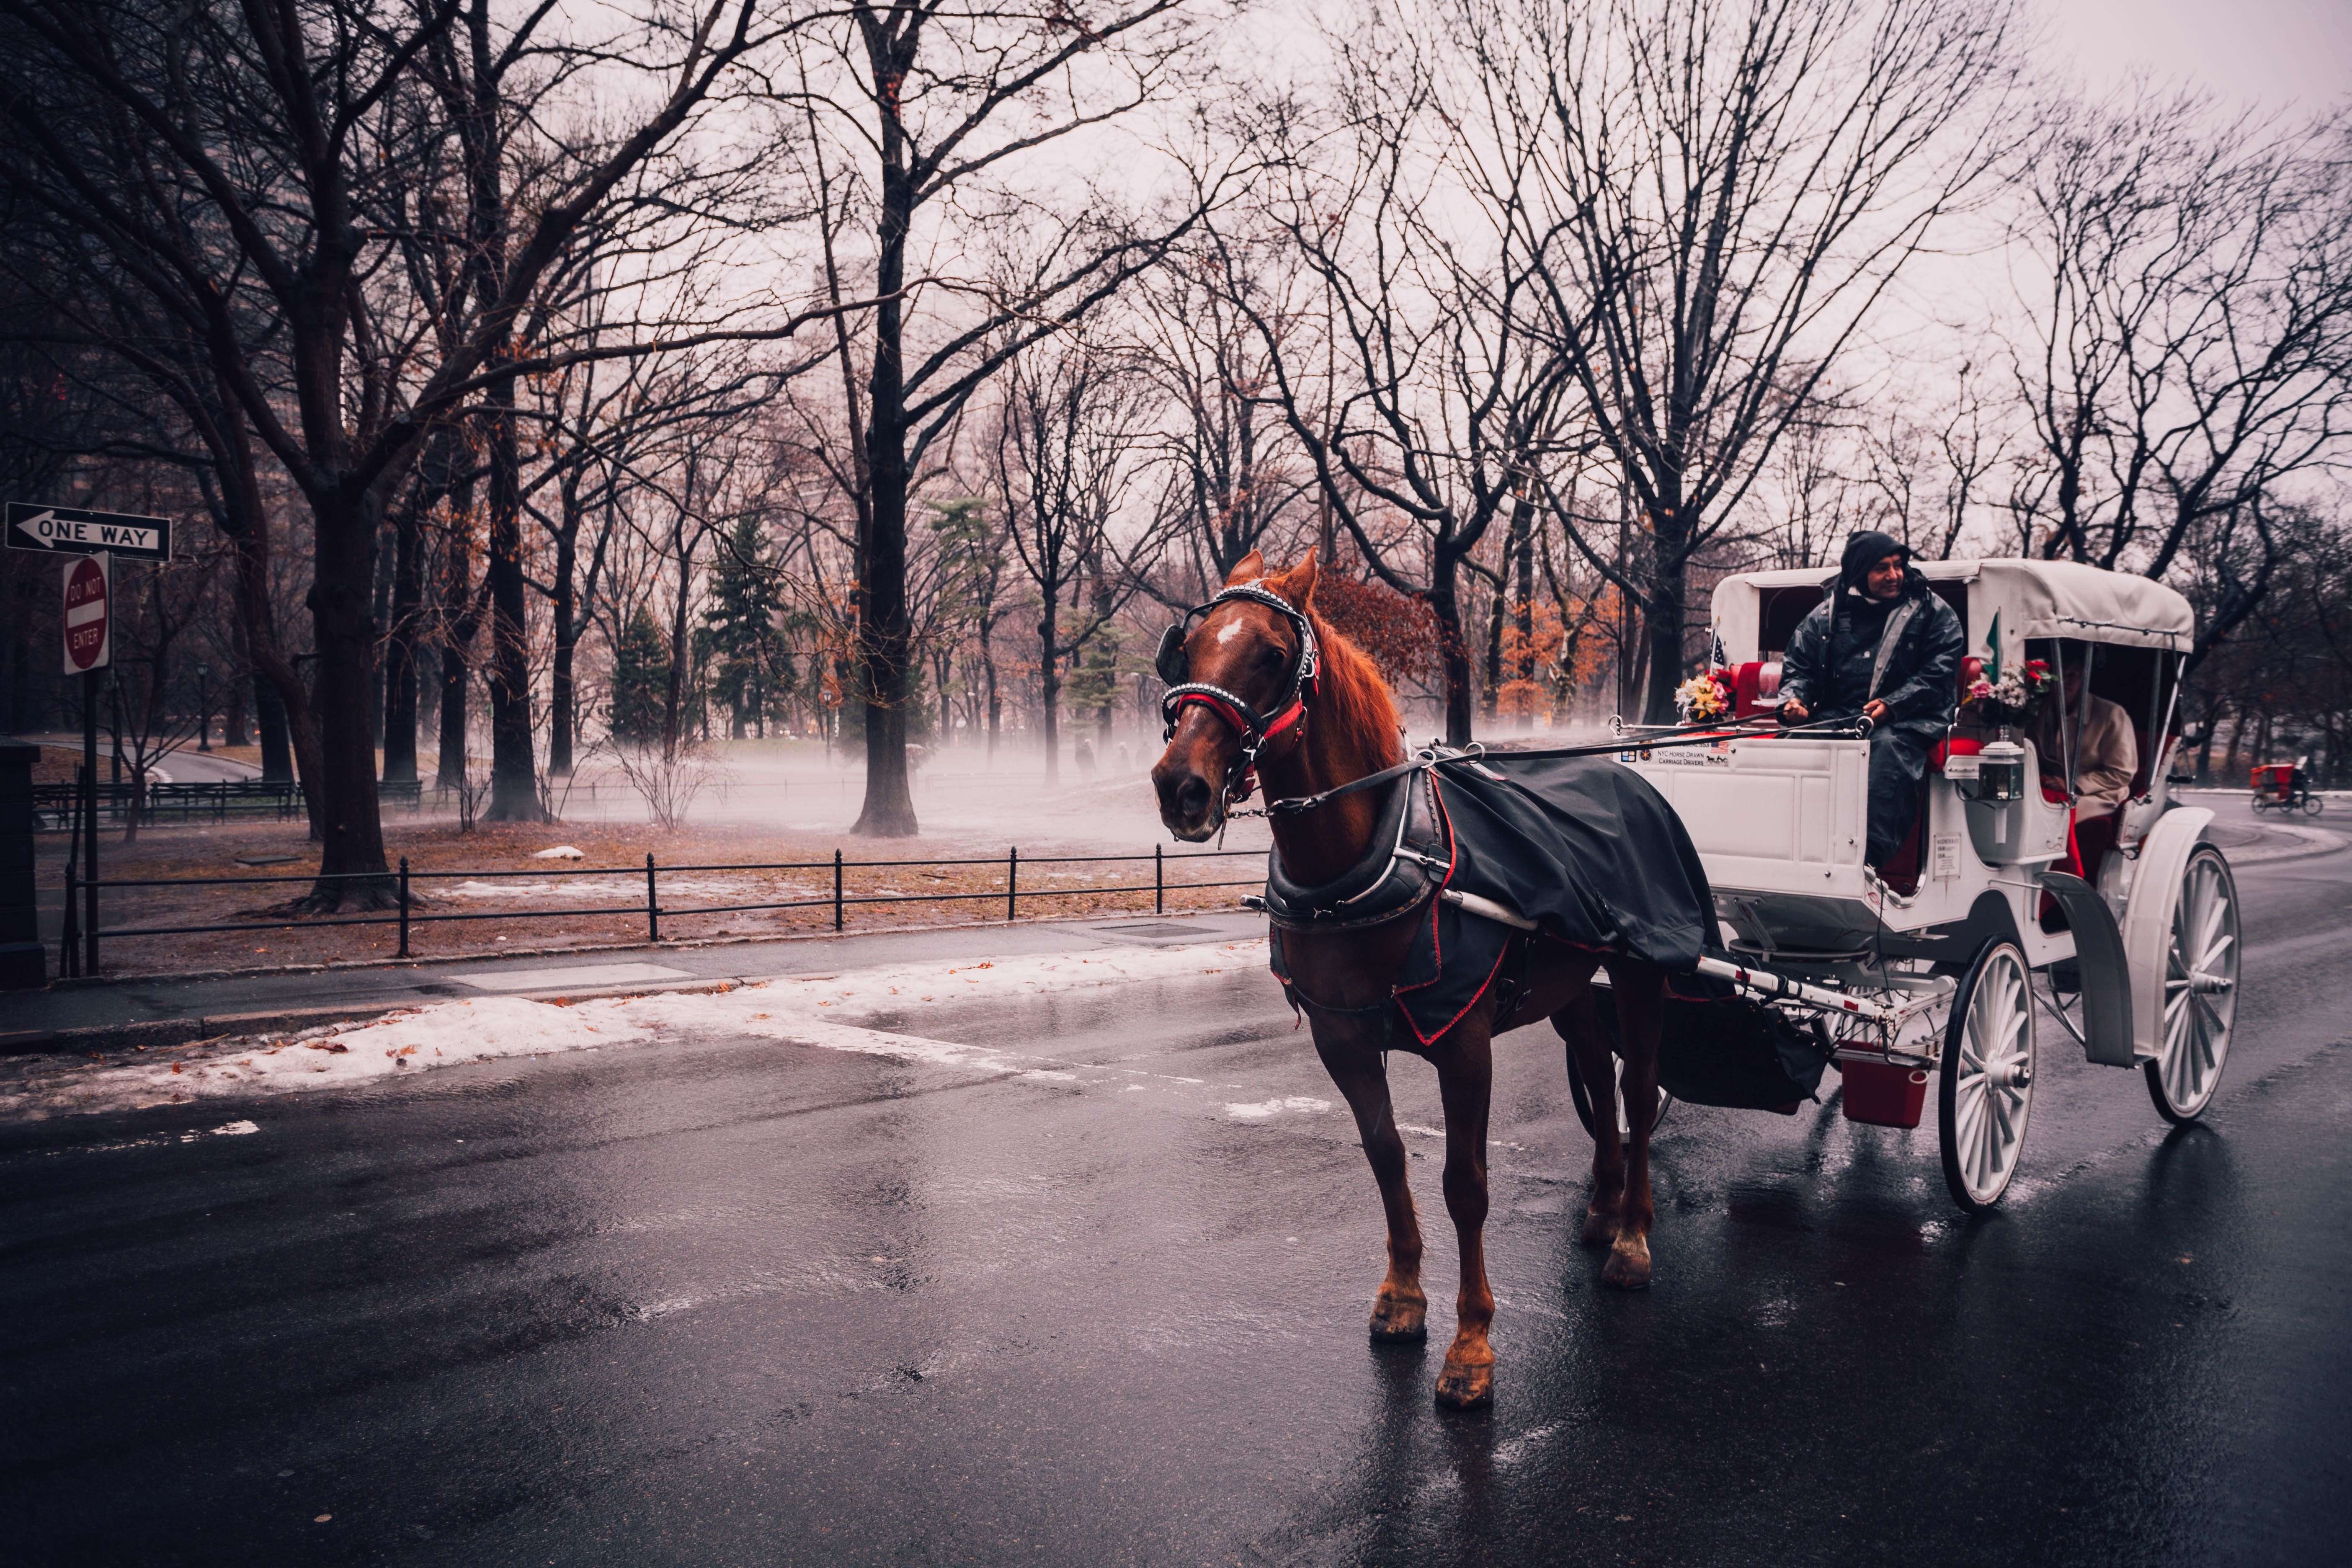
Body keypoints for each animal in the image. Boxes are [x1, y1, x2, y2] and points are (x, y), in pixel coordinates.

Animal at [1151, 549, 1669, 1410]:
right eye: (1185, 649)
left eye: (1271, 655)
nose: (1178, 785)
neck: (1369, 860)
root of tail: (1624, 775)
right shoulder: (1344, 1037)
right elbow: (1387, 1154)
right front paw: (1402, 1296)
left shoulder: (1464, 1040)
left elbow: (1466, 1182)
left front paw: (1472, 1344)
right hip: (1565, 983)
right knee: (1597, 1069)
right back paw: (1599, 1207)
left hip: (1639, 969)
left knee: (1635, 1087)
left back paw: (1631, 1236)